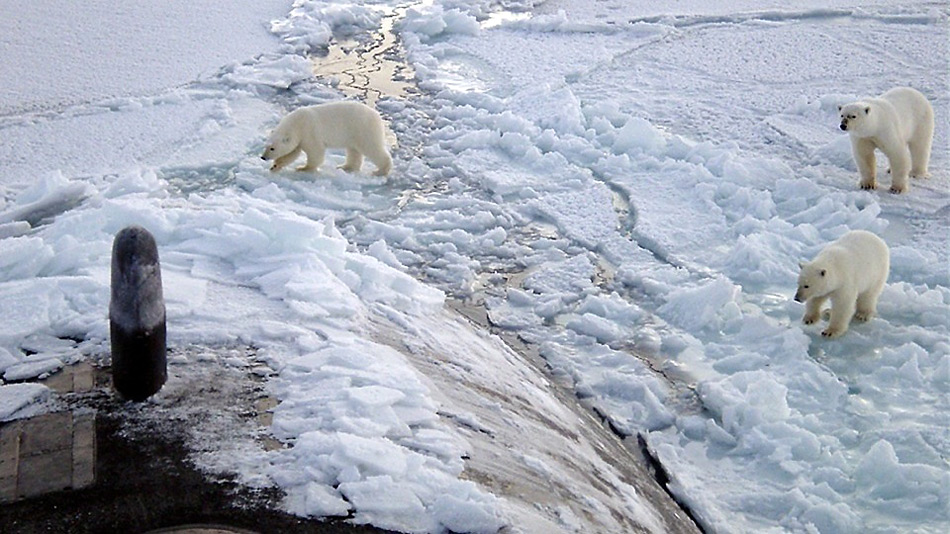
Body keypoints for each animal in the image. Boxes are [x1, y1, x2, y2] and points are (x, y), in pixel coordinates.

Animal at [260, 100, 390, 176]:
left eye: (272, 148)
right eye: (266, 146)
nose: (263, 157)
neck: (297, 123)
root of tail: (377, 116)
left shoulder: (309, 132)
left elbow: (315, 152)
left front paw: (303, 168)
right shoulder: (299, 137)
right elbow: (292, 153)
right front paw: (275, 166)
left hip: (363, 129)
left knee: (372, 148)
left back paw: (381, 171)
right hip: (354, 134)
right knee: (354, 150)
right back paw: (346, 167)